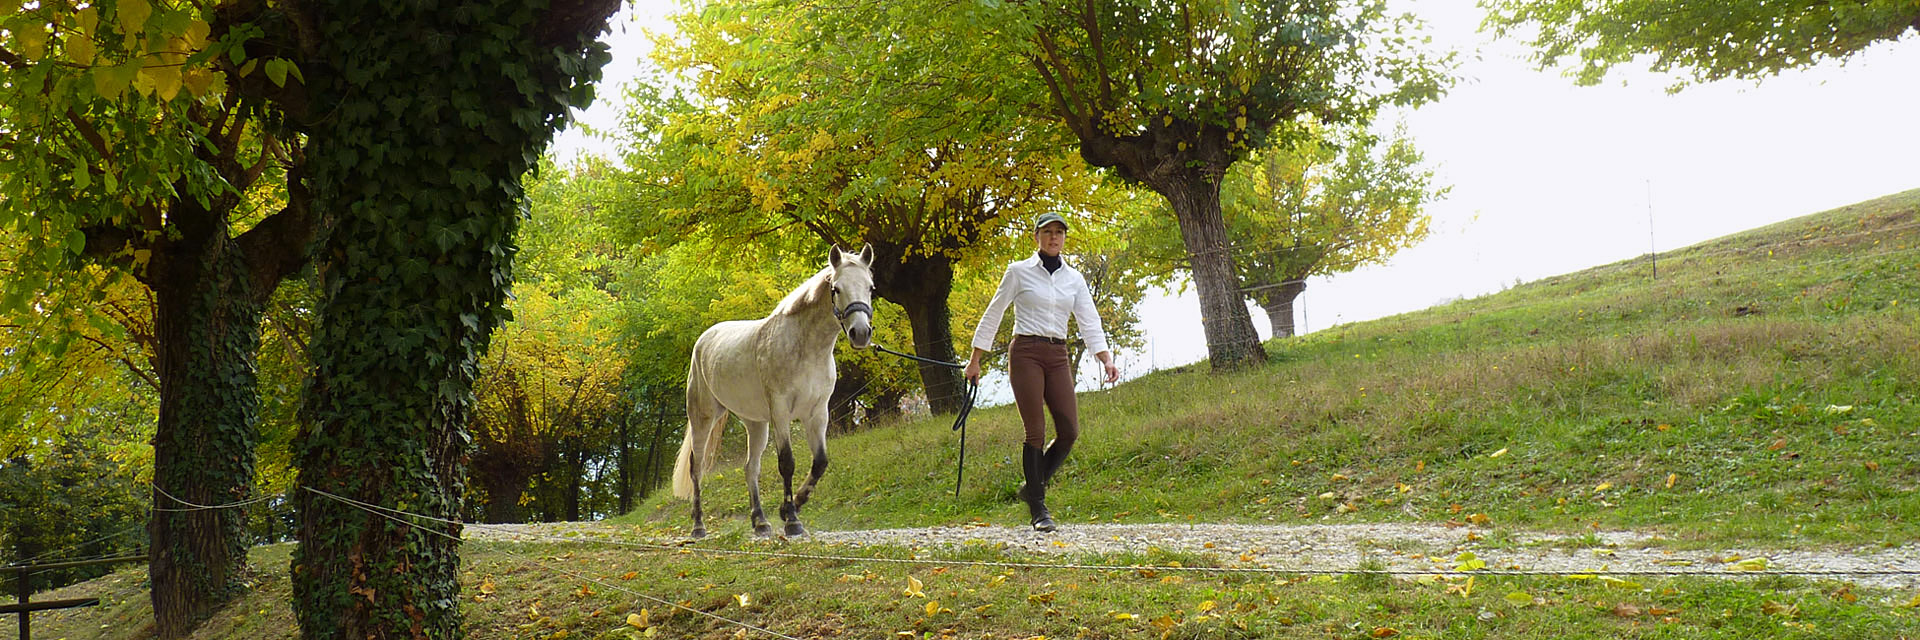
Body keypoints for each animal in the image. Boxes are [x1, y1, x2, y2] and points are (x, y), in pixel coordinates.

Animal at [671, 244, 876, 538]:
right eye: (836, 288)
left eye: (870, 288)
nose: (860, 333)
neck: (806, 349)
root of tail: (704, 340)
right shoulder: (780, 411)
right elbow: (787, 462)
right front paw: (792, 520)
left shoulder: (817, 414)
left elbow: (820, 462)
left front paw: (791, 507)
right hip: (703, 418)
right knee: (696, 468)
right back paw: (698, 526)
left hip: (755, 424)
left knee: (750, 468)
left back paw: (760, 522)